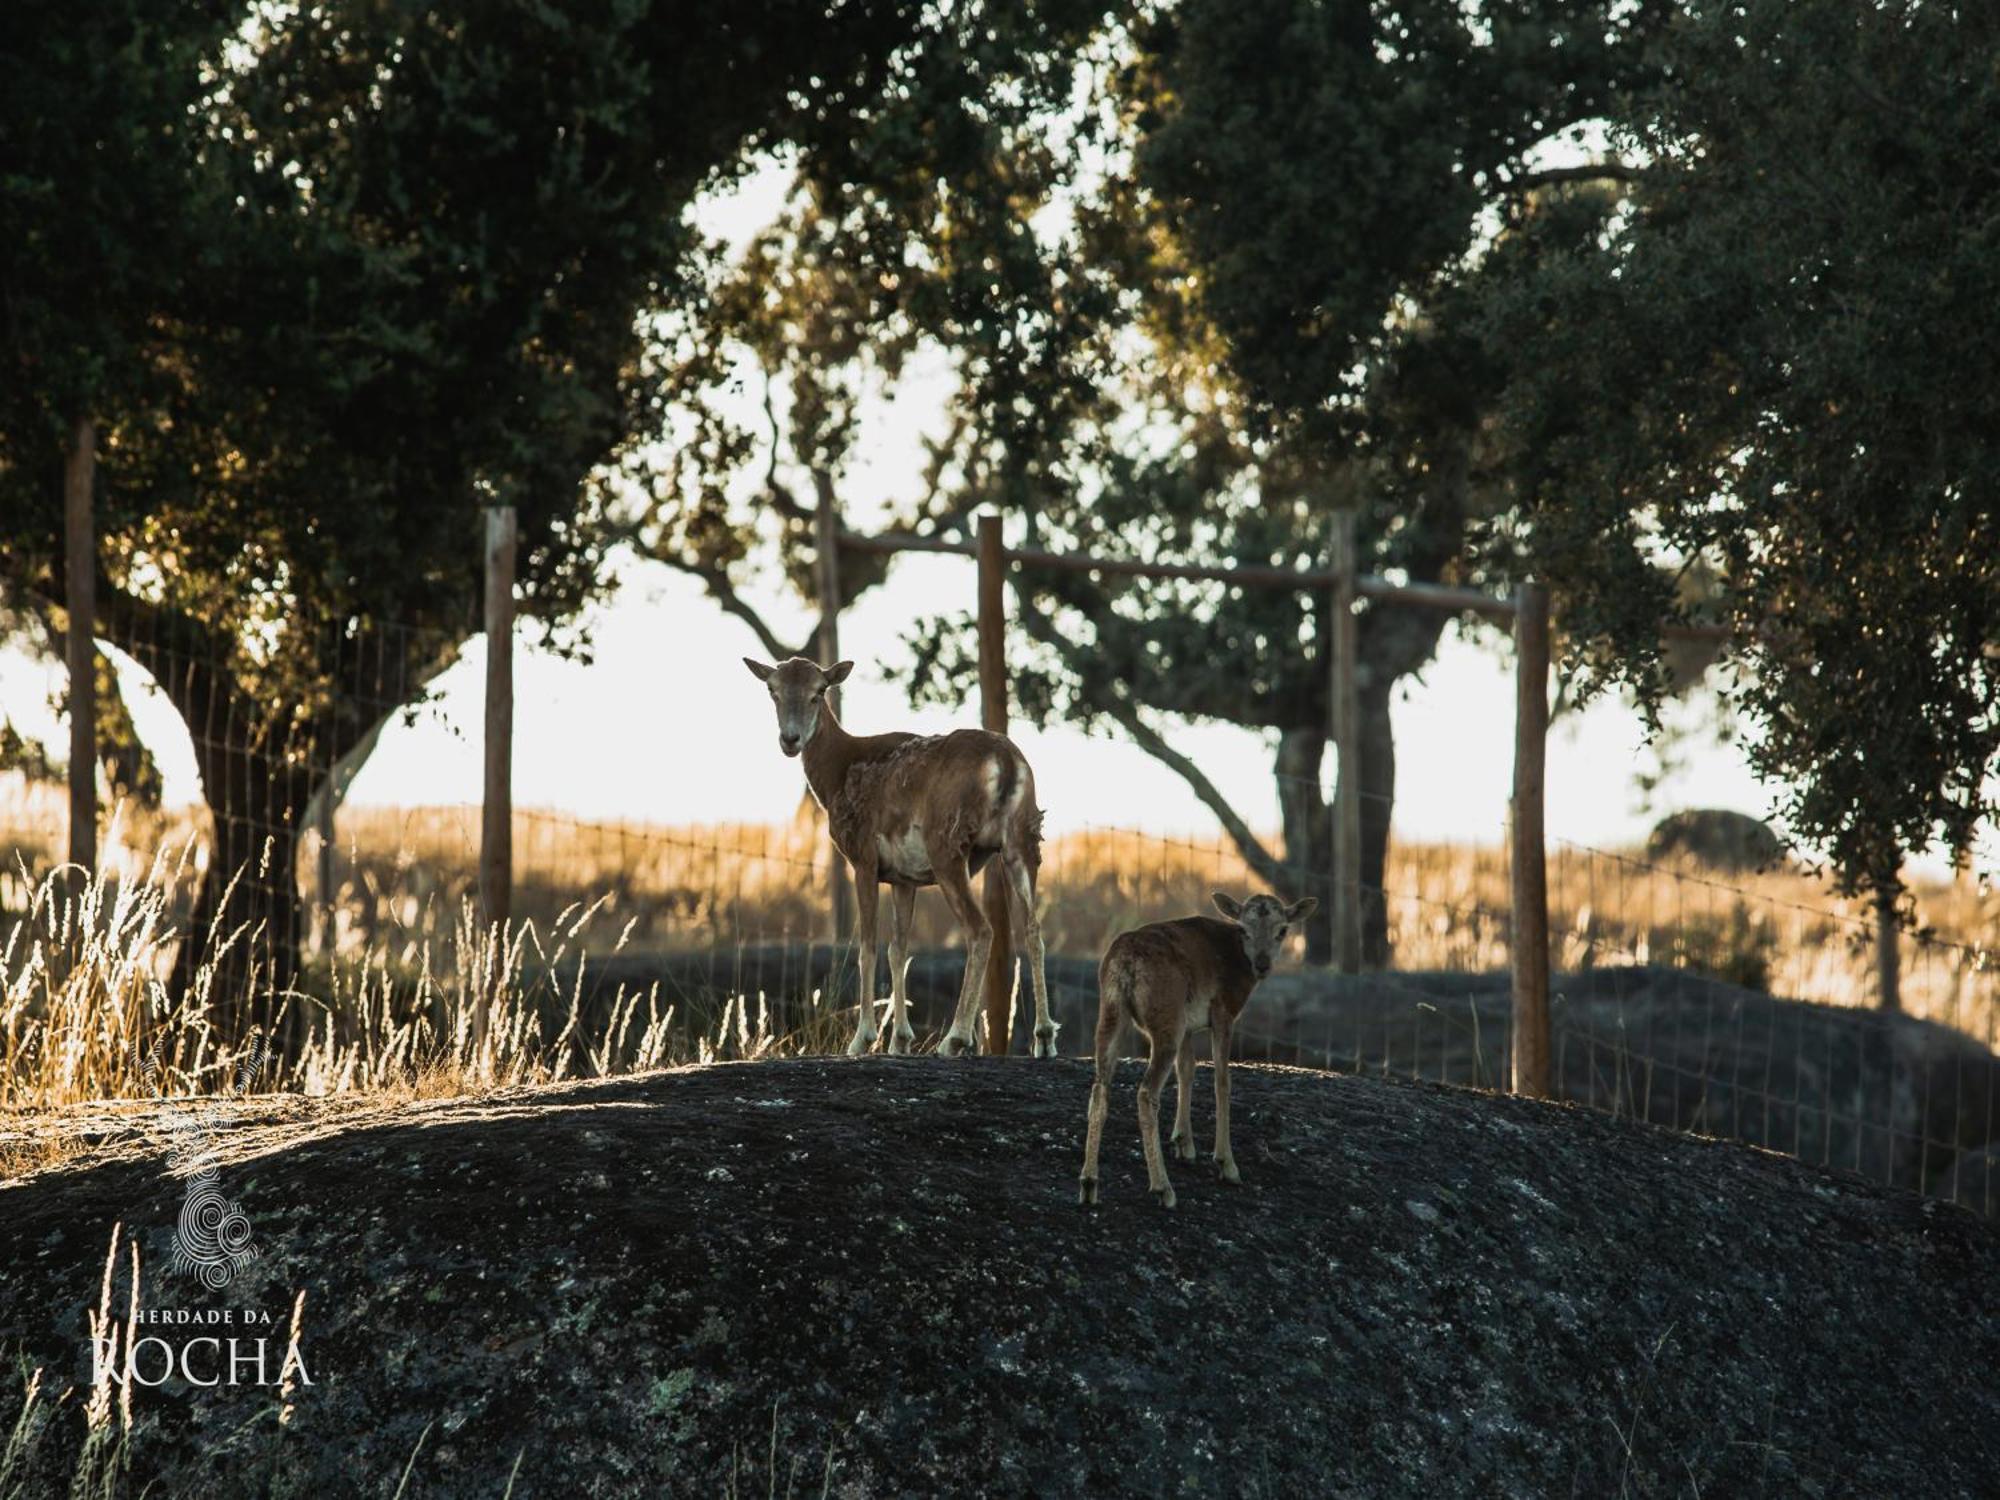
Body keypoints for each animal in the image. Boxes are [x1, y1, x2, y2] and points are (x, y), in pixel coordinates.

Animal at [1080, 892, 1312, 1208]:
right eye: (1244, 929)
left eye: (1282, 930)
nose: (1262, 965)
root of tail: (1126, 963)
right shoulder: (1223, 1010)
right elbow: (1222, 1080)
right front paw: (1226, 1164)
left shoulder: (1188, 1026)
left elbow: (1187, 1070)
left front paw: (1184, 1144)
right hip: (1167, 1017)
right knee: (1146, 1092)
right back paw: (1163, 1188)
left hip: (1111, 1010)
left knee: (1100, 1087)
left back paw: (1089, 1184)